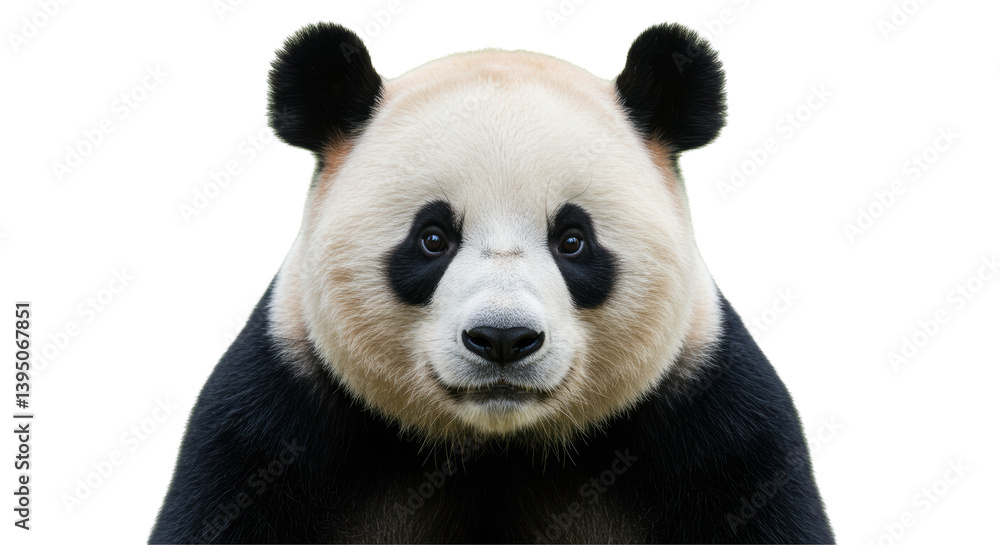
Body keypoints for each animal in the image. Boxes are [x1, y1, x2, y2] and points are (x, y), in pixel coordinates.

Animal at [151, 22, 834, 544]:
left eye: (572, 241)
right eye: (432, 238)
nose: (503, 339)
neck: (497, 446)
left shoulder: (715, 428)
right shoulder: (278, 423)